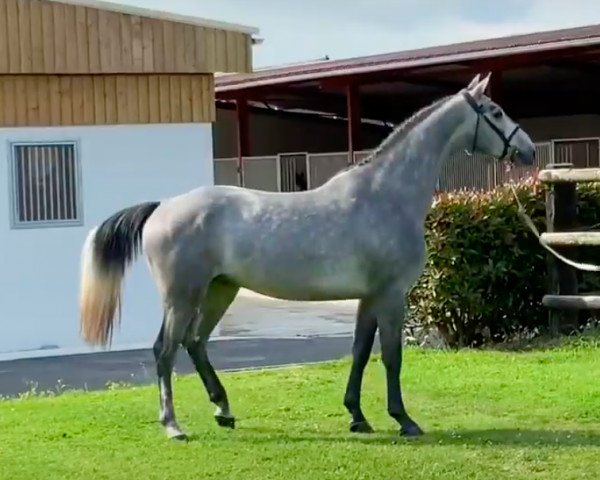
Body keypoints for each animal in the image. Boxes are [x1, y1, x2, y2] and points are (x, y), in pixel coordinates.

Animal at [78, 73, 536, 440]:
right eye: (495, 112)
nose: (529, 151)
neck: (386, 195)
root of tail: (163, 206)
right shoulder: (390, 296)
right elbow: (391, 357)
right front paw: (404, 420)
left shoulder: (369, 297)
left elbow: (359, 351)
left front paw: (357, 416)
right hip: (182, 296)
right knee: (165, 350)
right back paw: (173, 426)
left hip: (219, 290)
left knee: (195, 343)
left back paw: (223, 409)